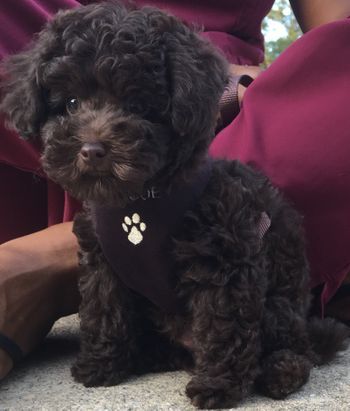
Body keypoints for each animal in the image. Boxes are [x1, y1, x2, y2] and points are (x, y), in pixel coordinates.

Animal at [1, 2, 348, 408]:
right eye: (71, 103)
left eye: (137, 104)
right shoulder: (102, 262)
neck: (138, 202)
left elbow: (223, 324)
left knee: (295, 346)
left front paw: (218, 386)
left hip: (279, 309)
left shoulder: (223, 261)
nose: (92, 149)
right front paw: (101, 365)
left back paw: (280, 371)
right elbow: (104, 308)